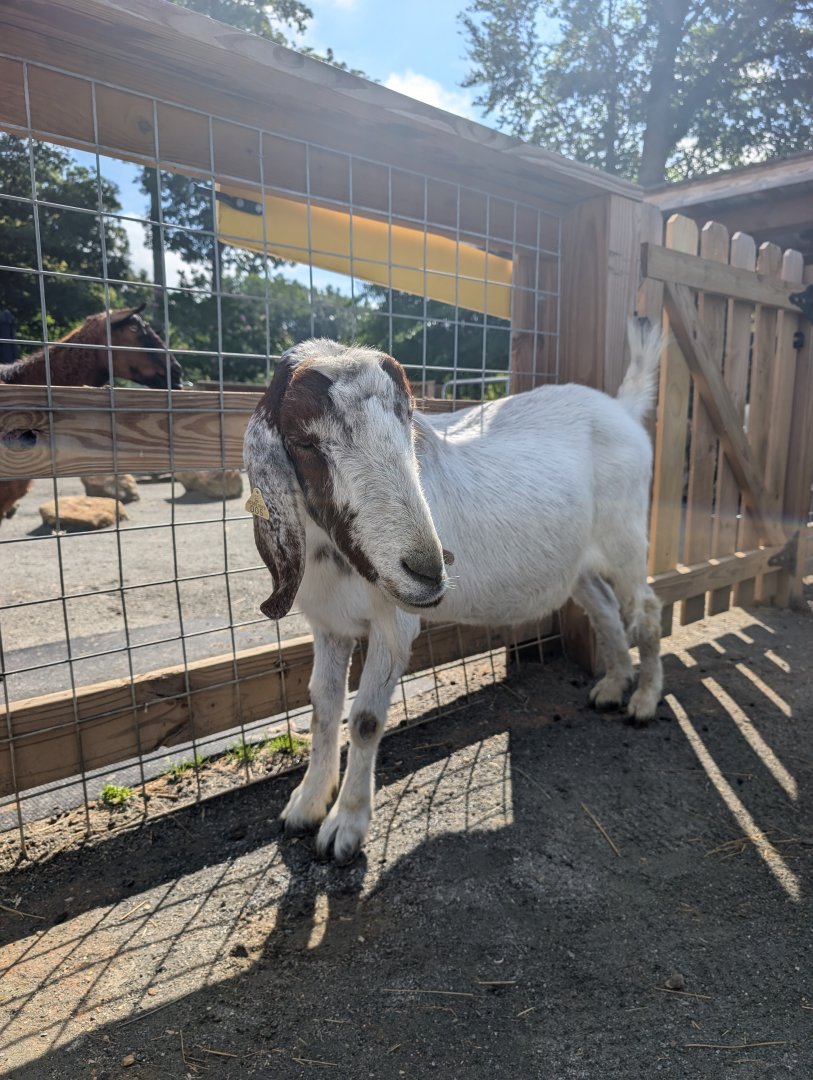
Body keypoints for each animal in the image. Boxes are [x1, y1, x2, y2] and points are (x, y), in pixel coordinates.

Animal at [244, 321, 664, 864]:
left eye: (408, 425)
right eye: (306, 442)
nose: (428, 569)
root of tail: (622, 408)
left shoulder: (394, 624)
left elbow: (364, 719)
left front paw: (346, 827)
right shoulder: (330, 625)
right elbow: (323, 706)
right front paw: (307, 803)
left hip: (625, 536)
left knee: (646, 609)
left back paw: (645, 700)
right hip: (577, 564)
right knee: (605, 607)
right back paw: (613, 686)